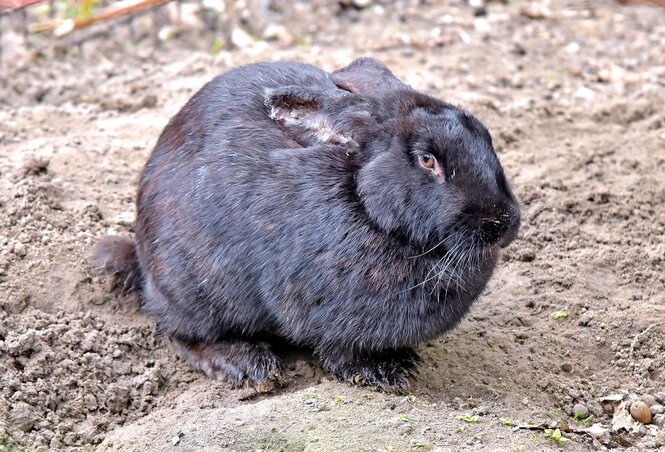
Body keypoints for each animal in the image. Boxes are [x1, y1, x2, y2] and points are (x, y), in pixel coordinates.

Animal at [93, 57, 520, 392]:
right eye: (427, 159)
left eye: (486, 137)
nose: (503, 223)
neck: (368, 208)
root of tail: (142, 259)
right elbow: (340, 349)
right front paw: (384, 372)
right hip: (194, 289)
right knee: (178, 332)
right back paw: (248, 364)